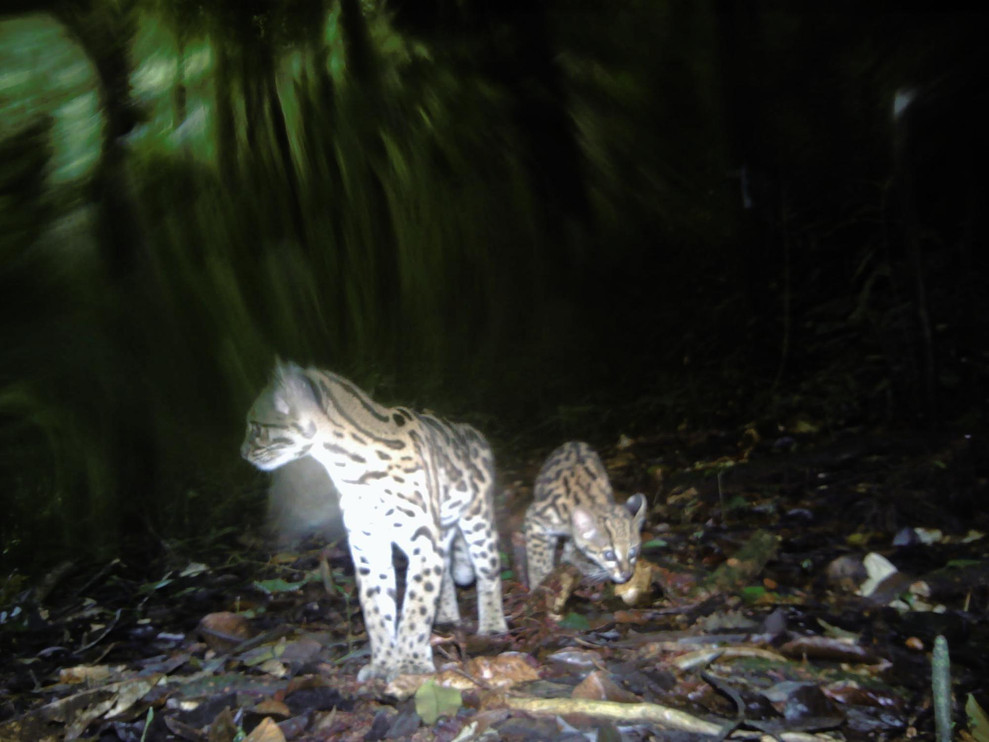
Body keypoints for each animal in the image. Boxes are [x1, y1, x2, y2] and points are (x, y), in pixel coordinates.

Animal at [237, 364, 502, 684]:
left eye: (256, 426)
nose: (242, 452)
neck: (347, 467)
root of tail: (473, 432)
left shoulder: (423, 538)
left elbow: (417, 603)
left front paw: (410, 662)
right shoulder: (368, 541)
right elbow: (376, 608)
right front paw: (383, 663)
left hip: (478, 520)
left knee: (488, 572)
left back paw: (493, 624)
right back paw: (447, 615)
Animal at [524, 442, 648, 592]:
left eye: (633, 551)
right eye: (609, 555)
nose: (627, 575)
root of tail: (573, 442)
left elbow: (573, 544)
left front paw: (572, 558)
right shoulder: (535, 518)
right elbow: (538, 559)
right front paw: (539, 583)